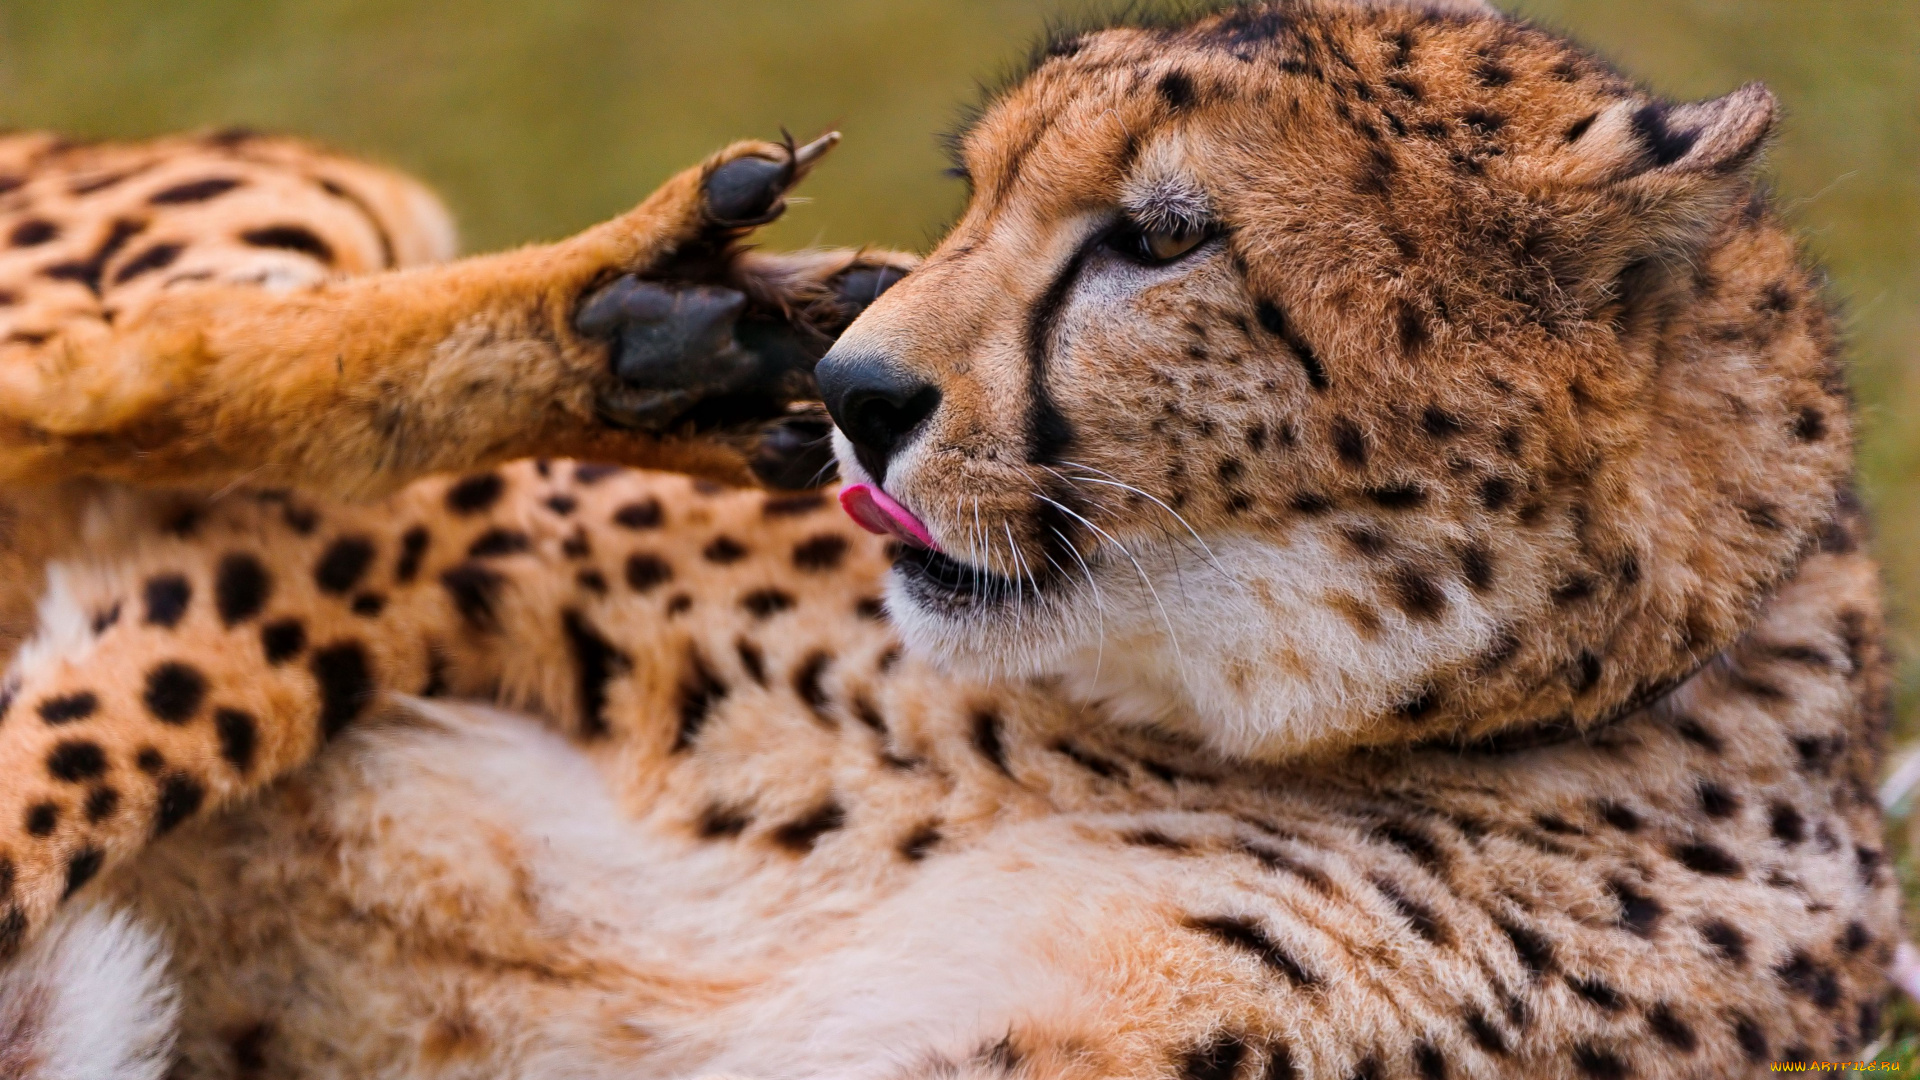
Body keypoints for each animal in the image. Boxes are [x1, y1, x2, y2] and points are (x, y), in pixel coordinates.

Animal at [0, 0, 1900, 1077]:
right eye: (978, 193)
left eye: (1162, 235)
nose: (856, 389)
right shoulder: (367, 545)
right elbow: (85, 751)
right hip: (315, 214)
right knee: (91, 360)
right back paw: (647, 317)